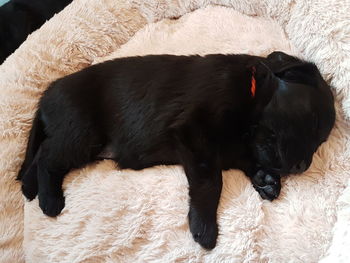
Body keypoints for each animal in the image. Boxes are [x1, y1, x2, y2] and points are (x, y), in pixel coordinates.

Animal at [17, 51, 334, 250]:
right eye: (312, 121)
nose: (302, 167)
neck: (252, 90)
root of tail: (47, 95)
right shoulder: (194, 132)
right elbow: (210, 182)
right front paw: (204, 227)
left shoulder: (232, 146)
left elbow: (248, 158)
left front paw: (267, 180)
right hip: (81, 132)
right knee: (47, 157)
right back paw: (49, 200)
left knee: (41, 153)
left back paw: (30, 189)